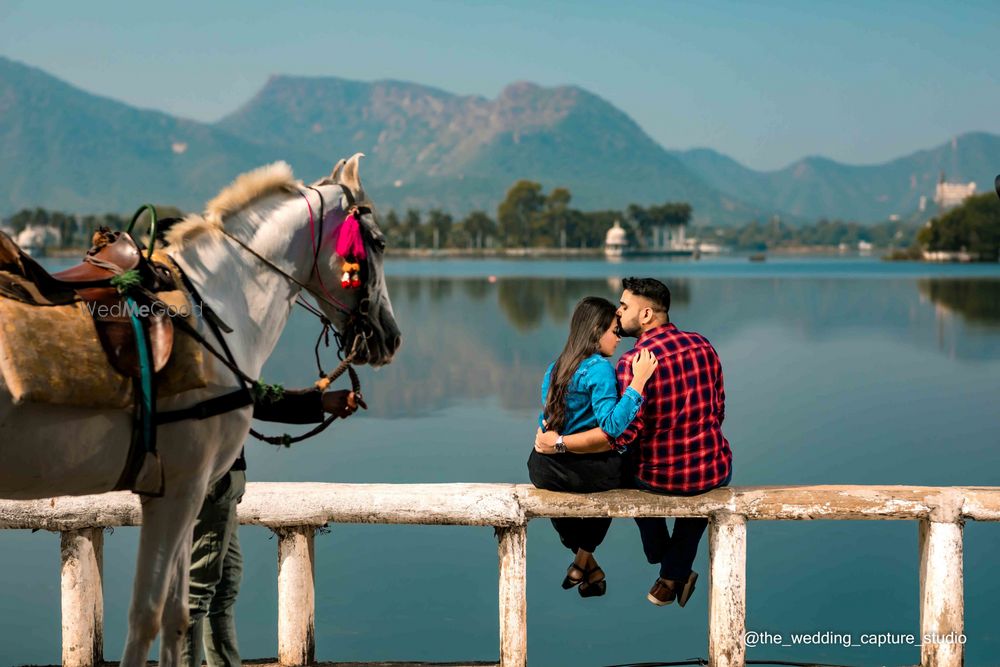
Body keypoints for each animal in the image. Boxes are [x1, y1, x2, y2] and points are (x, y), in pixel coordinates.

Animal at [0, 155, 400, 664]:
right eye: (380, 242)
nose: (391, 335)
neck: (219, 304)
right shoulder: (180, 486)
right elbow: (147, 616)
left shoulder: (179, 493)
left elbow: (175, 616)